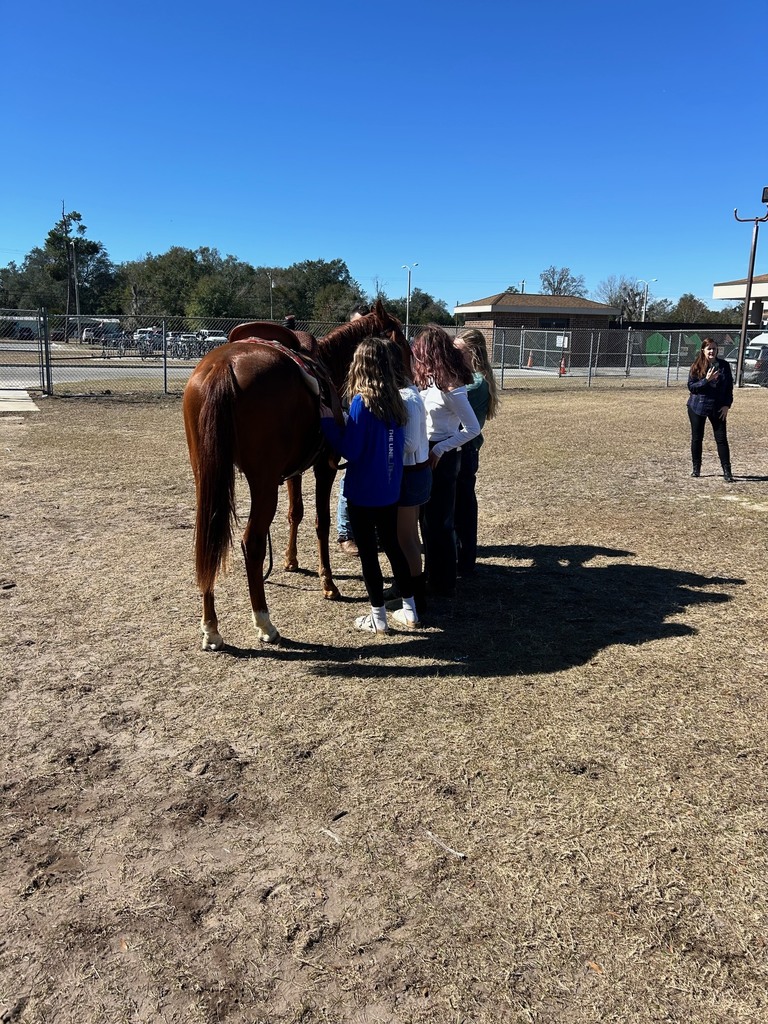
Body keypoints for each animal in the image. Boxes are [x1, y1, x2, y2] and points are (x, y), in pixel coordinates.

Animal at [182, 299, 410, 650]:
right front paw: (328, 583)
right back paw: (264, 623)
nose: (413, 378)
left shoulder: (292, 470)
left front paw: (290, 561)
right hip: (261, 482)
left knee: (207, 539)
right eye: (402, 343)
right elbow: (320, 521)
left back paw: (211, 629)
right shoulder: (325, 464)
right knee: (252, 542)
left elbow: (295, 513)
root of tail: (222, 366)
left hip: (207, 475)